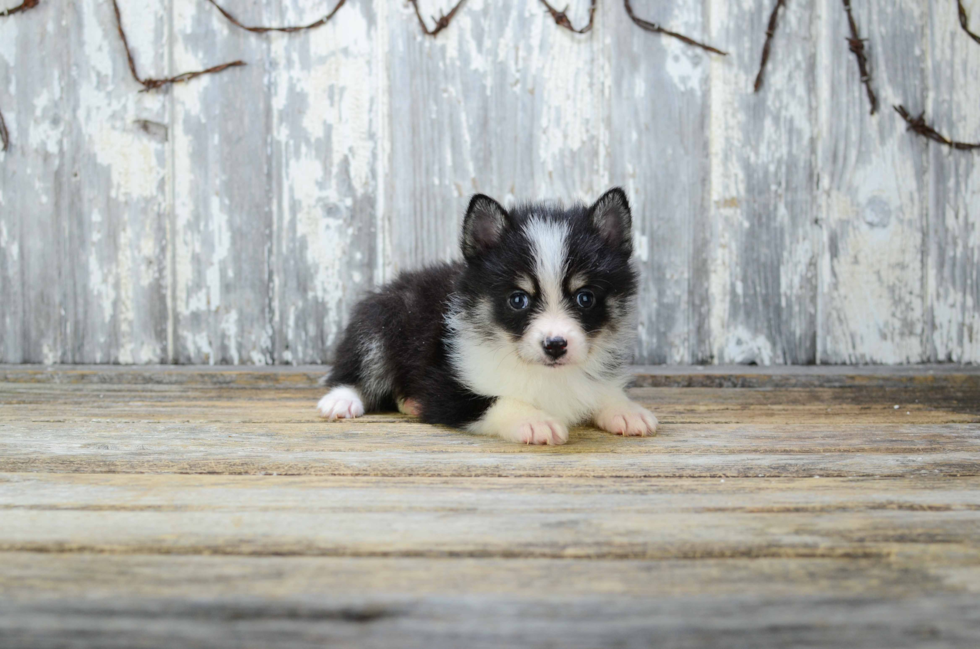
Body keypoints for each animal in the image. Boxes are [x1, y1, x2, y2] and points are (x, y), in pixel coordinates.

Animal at [318, 185, 664, 442]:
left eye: (585, 297)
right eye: (518, 300)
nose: (555, 346)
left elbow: (599, 390)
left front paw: (624, 409)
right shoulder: (446, 386)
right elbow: (494, 401)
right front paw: (534, 420)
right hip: (379, 323)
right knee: (359, 368)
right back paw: (343, 398)